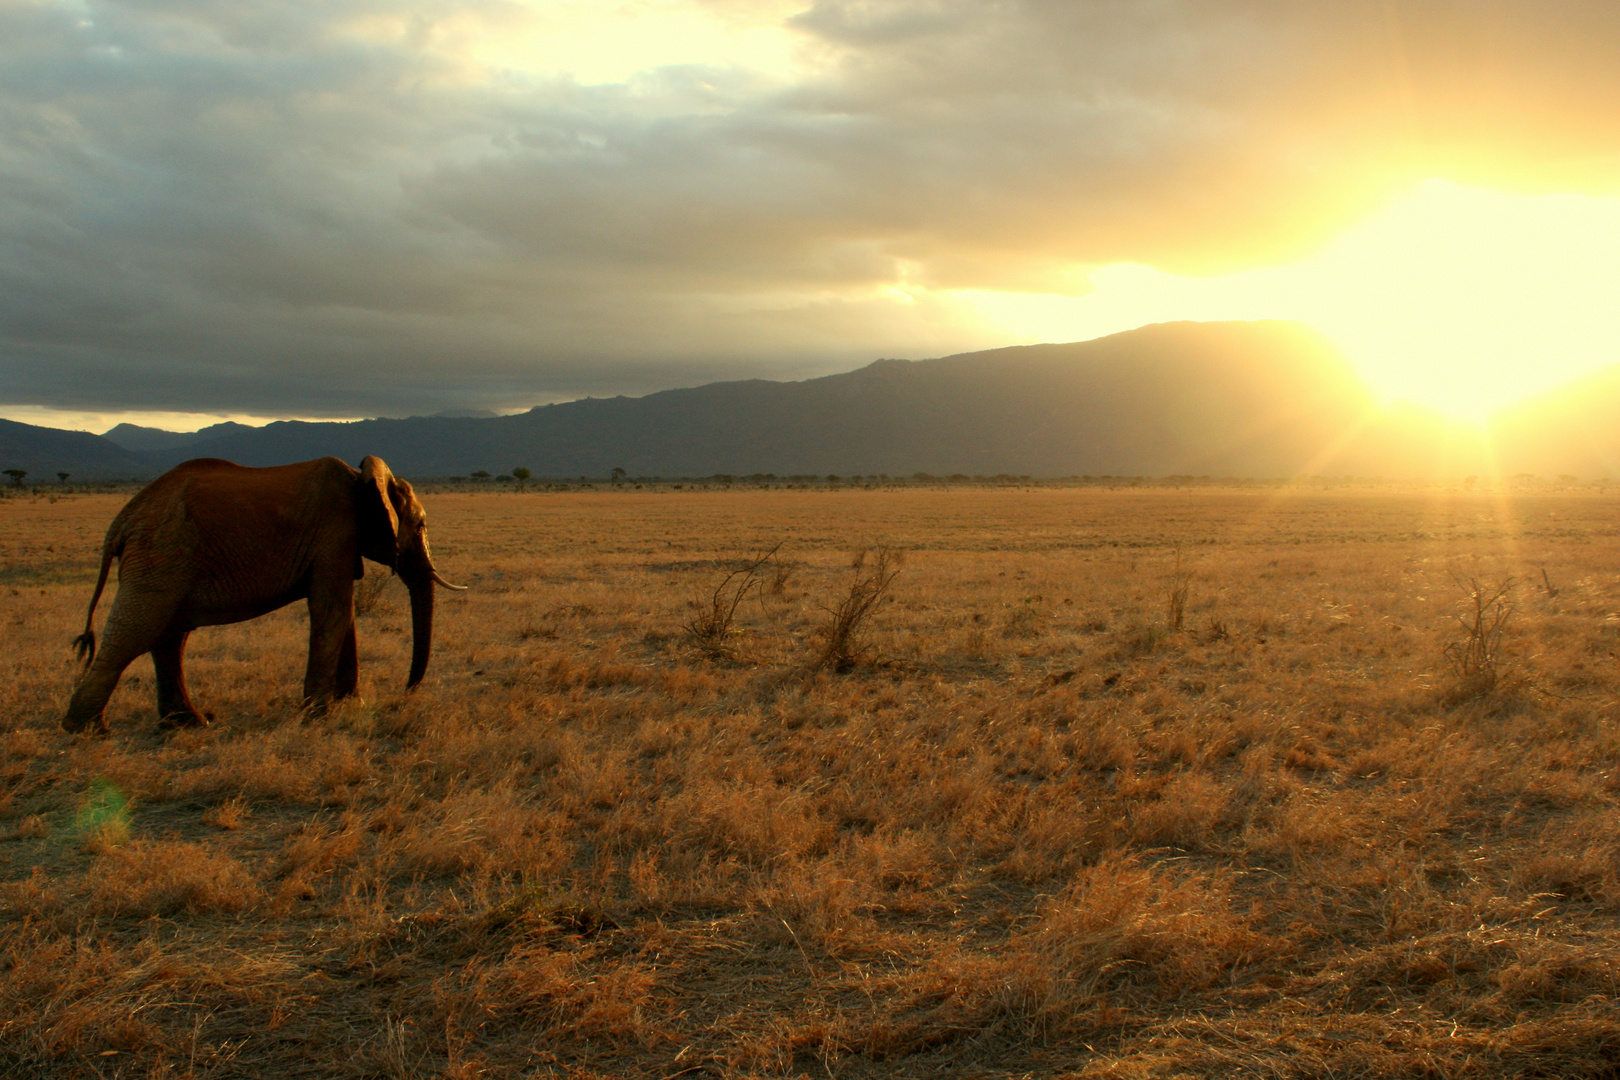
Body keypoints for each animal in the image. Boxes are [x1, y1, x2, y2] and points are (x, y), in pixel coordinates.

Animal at [61, 456, 463, 735]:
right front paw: (318, 715)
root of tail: (122, 521)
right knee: (136, 632)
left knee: (169, 638)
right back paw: (87, 730)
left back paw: (190, 723)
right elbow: (331, 609)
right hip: (161, 554)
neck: (361, 476)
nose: (405, 692)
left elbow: (343, 614)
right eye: (421, 525)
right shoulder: (335, 532)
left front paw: (350, 703)